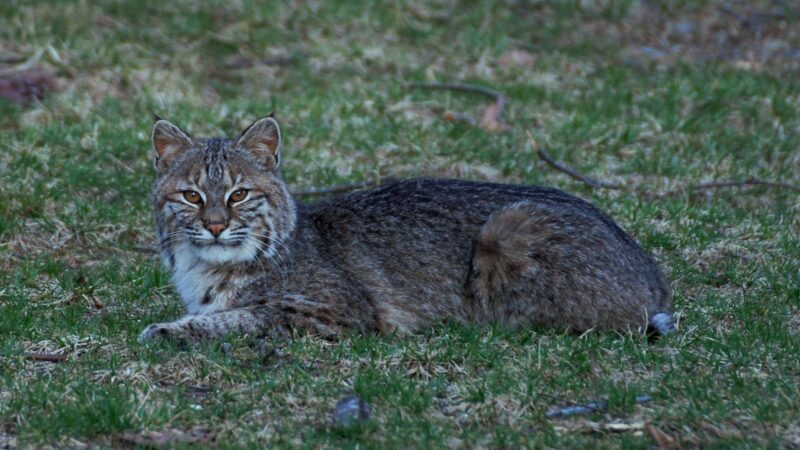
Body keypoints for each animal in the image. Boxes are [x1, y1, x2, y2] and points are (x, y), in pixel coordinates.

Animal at [139, 116, 676, 344]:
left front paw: (165, 330)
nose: (214, 226)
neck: (207, 265)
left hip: (507, 227)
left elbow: (241, 317)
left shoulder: (338, 312)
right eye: (192, 196)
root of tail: (652, 272)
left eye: (239, 195)